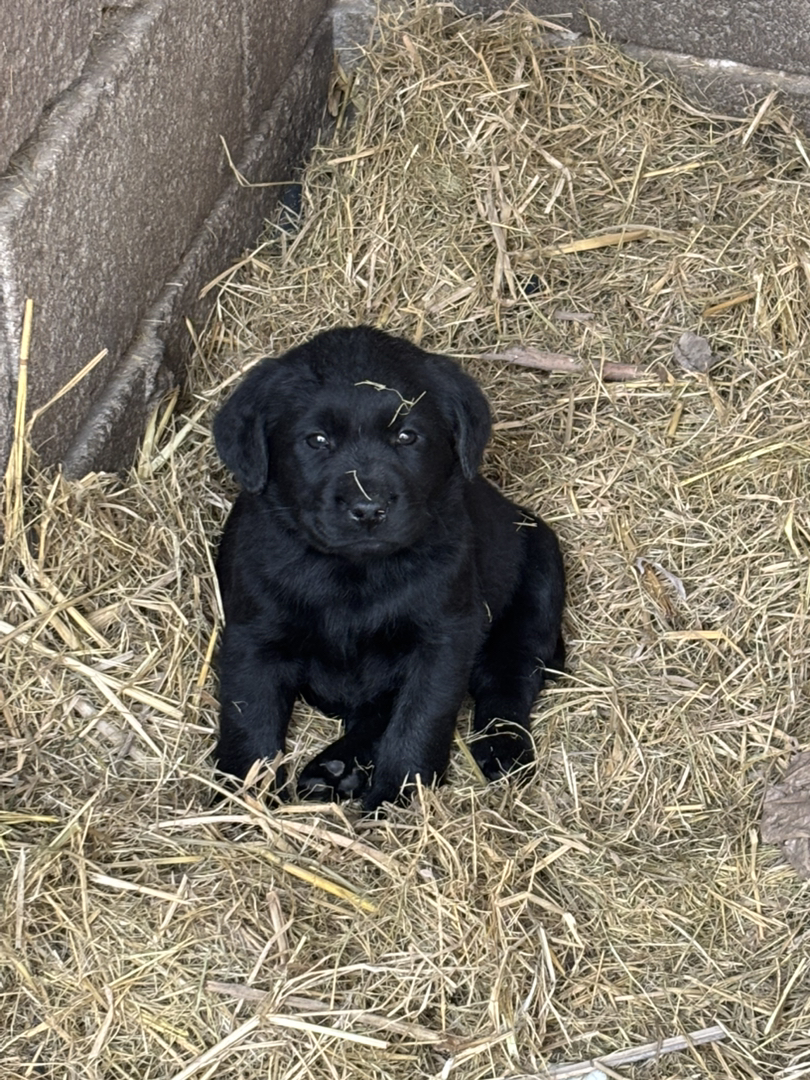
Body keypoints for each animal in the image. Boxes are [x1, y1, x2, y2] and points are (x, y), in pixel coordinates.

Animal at [213, 326, 565, 811]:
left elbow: (420, 718)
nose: (368, 509)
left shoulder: (444, 637)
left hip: (537, 579)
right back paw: (337, 768)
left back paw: (501, 751)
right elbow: (249, 721)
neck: (352, 575)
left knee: (506, 682)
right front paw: (241, 804)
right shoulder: (253, 636)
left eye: (407, 436)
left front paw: (398, 797)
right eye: (317, 440)